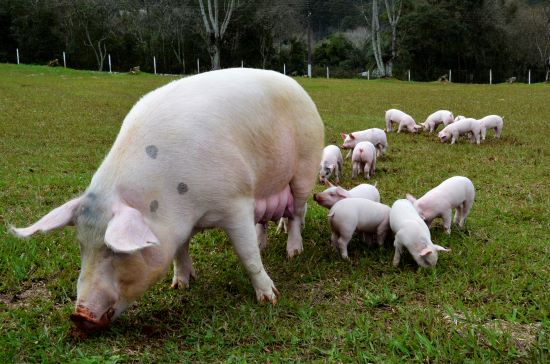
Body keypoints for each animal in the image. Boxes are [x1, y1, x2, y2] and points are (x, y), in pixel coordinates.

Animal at [8, 68, 326, 332]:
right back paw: (265, 243)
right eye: (81, 245)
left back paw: (293, 252)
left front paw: (269, 298)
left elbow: (247, 255)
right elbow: (179, 252)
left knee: (296, 213)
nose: (78, 315)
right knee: (266, 220)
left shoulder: (236, 200)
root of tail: (297, 86)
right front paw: (181, 285)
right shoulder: (177, 226)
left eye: (115, 251)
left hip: (304, 167)